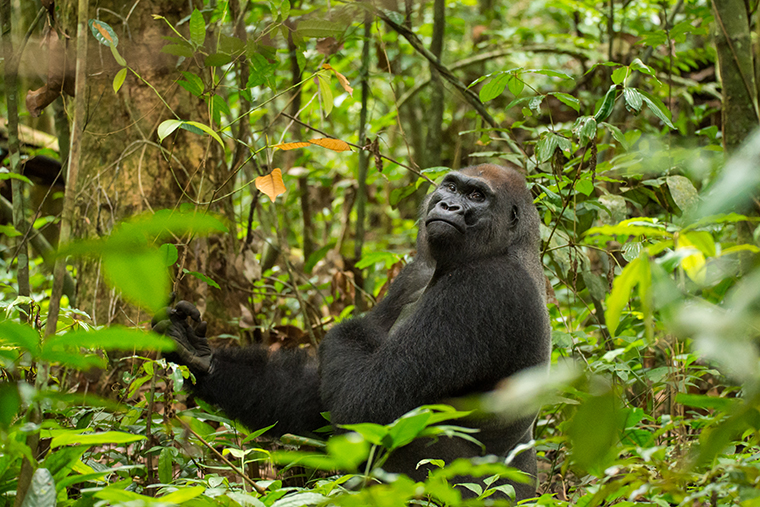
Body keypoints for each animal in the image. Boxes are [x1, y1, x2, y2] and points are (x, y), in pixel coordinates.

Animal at [159, 164, 552, 500]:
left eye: (476, 196)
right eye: (452, 187)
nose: (449, 205)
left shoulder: (484, 287)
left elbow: (364, 402)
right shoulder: (415, 273)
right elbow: (318, 401)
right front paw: (201, 356)